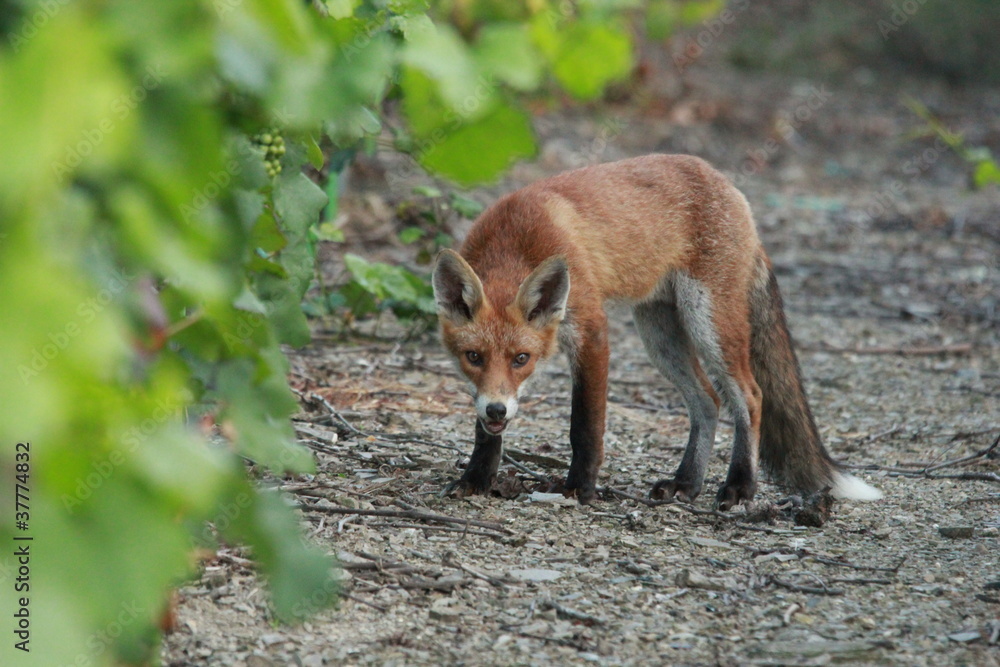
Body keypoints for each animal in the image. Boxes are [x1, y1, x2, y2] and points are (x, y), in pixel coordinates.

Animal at [432, 154, 882, 509]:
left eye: (522, 359)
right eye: (473, 358)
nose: (497, 410)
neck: (515, 243)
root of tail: (728, 185)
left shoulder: (592, 331)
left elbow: (585, 427)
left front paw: (580, 489)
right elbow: (485, 436)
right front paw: (476, 479)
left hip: (707, 322)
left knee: (751, 397)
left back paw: (740, 486)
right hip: (659, 334)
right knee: (708, 401)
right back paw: (686, 483)